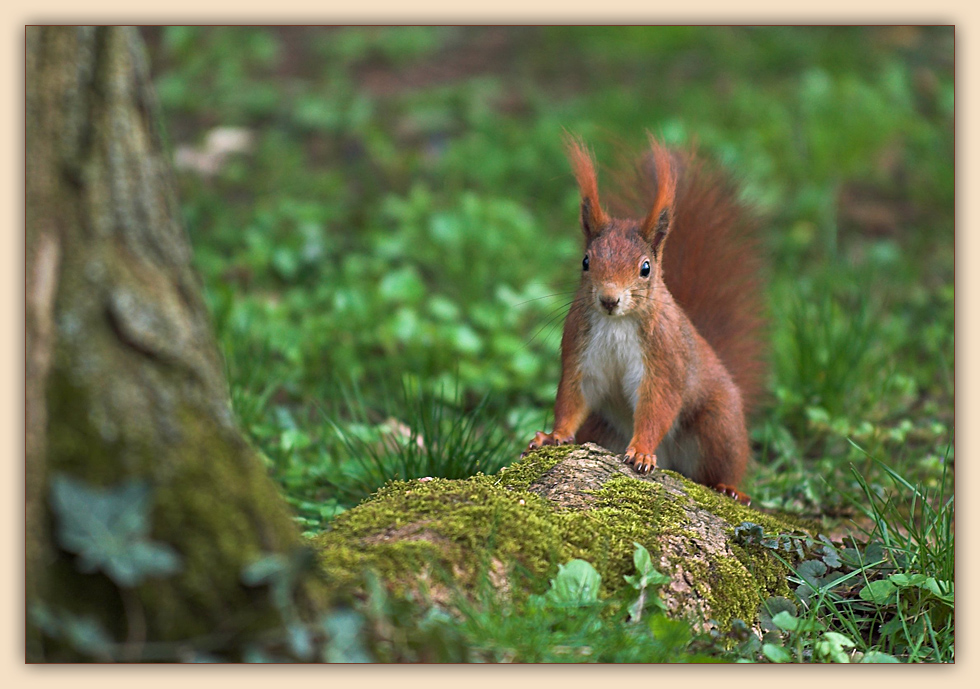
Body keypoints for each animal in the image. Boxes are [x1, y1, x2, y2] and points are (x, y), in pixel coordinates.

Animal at [528, 134, 764, 502]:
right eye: (585, 261)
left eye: (645, 268)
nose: (609, 299)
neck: (616, 323)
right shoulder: (580, 350)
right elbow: (572, 397)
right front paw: (554, 435)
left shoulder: (664, 358)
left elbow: (658, 406)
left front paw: (641, 451)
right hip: (601, 427)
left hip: (718, 425)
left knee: (719, 466)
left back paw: (728, 488)